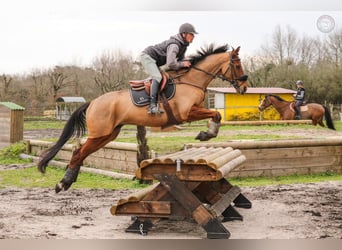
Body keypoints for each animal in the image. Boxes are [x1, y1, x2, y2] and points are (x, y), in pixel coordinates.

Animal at [38, 44, 248, 192]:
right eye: (237, 65)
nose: (244, 88)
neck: (191, 81)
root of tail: (92, 102)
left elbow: (216, 114)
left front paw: (207, 133)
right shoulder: (187, 113)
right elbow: (216, 114)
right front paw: (206, 134)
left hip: (108, 135)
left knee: (81, 153)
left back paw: (67, 181)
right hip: (100, 134)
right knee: (78, 153)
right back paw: (62, 184)